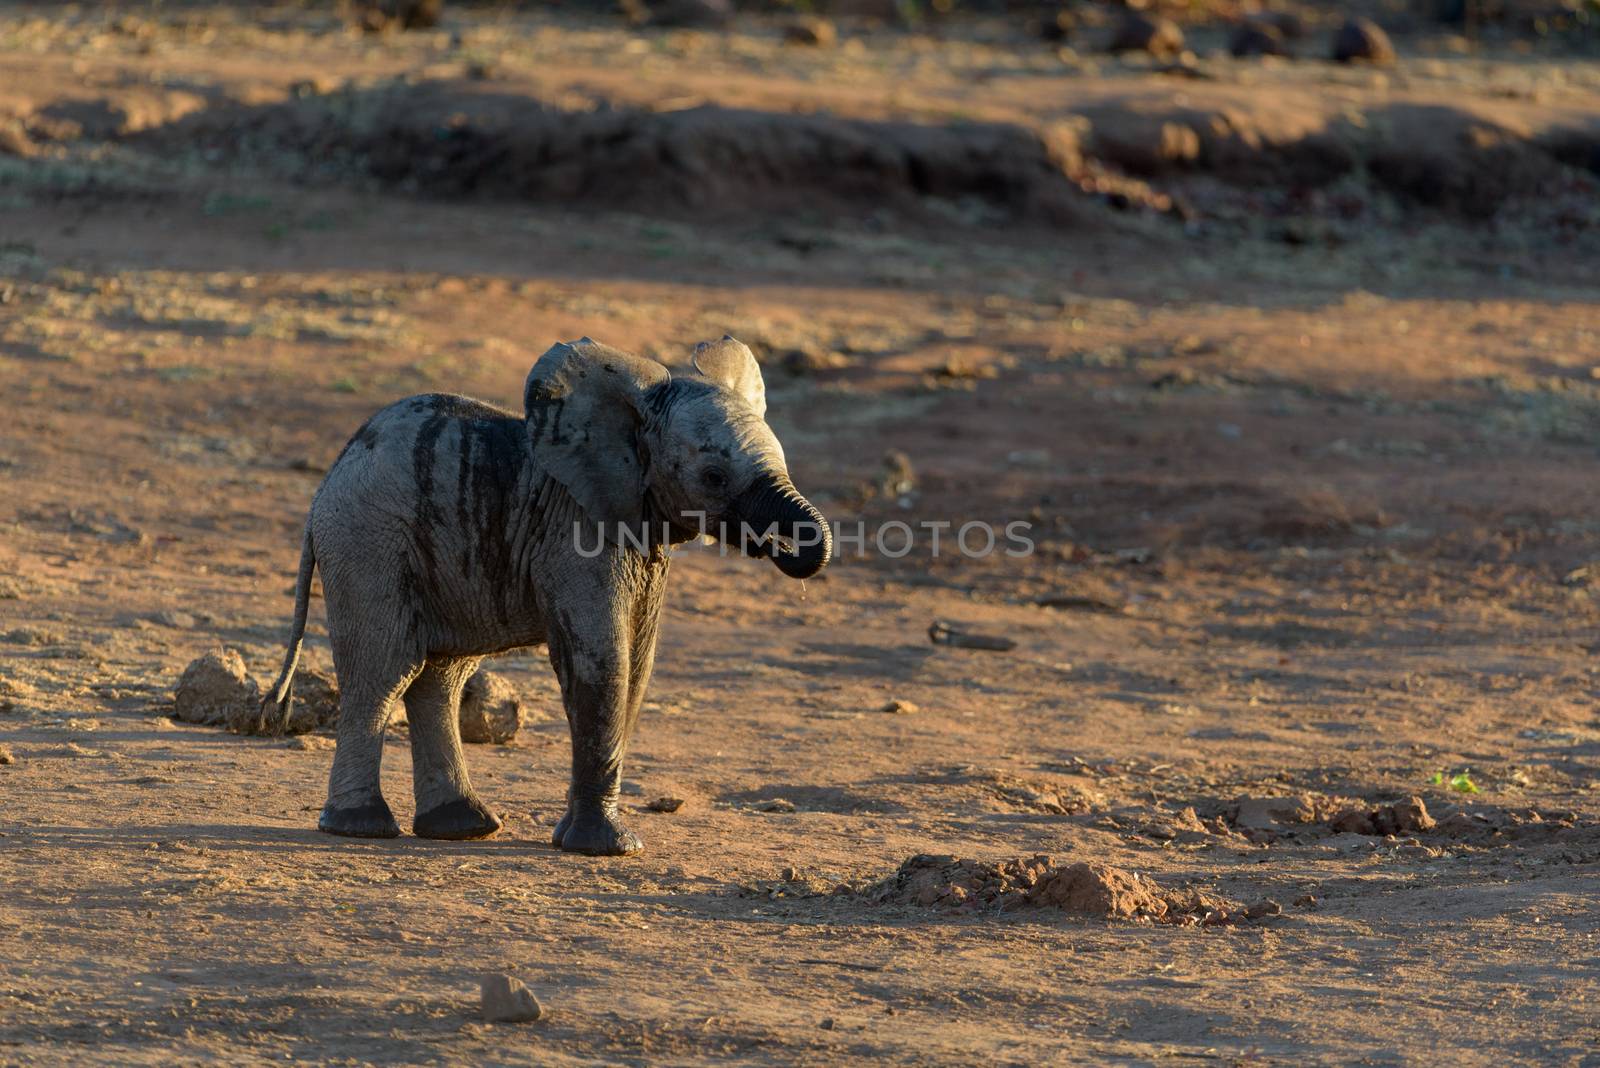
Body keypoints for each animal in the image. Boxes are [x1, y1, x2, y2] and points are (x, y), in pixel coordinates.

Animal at [259, 337, 838, 856]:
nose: (779, 546)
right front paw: (608, 849)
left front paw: (582, 840)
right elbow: (604, 662)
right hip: (367, 541)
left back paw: (463, 827)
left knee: (440, 676)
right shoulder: (576, 531)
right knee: (384, 670)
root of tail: (326, 484)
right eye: (713, 476)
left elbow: (639, 668)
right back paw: (361, 828)